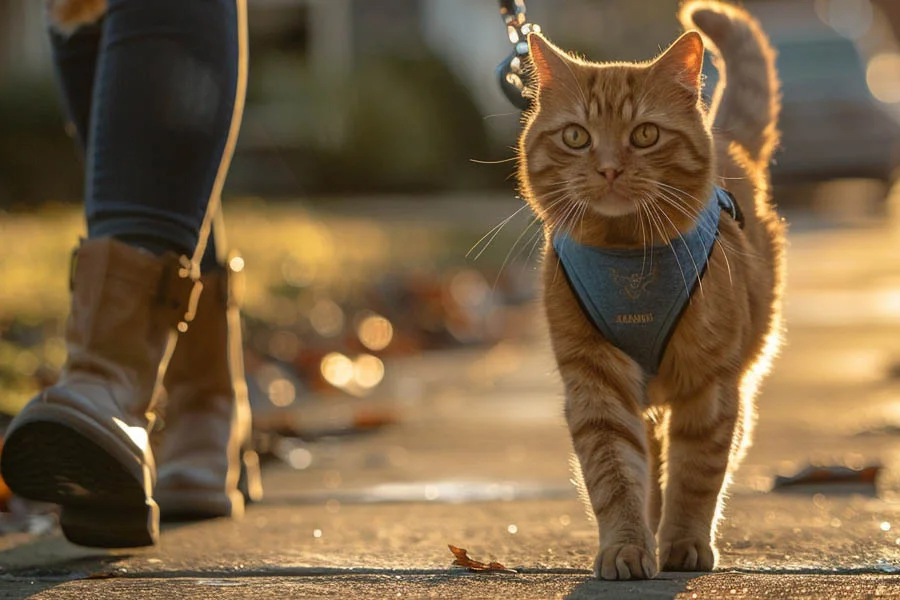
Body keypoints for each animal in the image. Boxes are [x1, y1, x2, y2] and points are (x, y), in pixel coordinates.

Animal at [516, 1, 784, 580]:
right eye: (576, 137)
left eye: (644, 135)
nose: (609, 169)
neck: (626, 255)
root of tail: (727, 138)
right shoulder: (594, 380)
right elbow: (614, 474)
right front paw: (626, 545)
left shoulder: (710, 386)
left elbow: (696, 475)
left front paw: (682, 542)